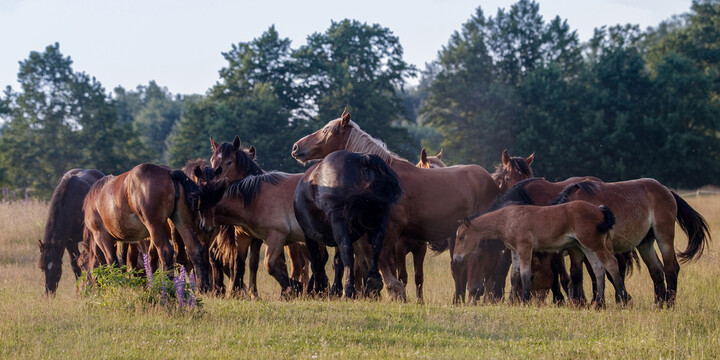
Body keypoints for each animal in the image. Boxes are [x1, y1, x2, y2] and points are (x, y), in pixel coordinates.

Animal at [83, 164, 211, 292]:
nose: (88, 288)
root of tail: (169, 172)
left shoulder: (101, 237)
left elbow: (112, 262)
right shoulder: (122, 240)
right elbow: (121, 261)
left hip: (155, 226)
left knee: (165, 251)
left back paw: (167, 287)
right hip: (182, 223)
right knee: (194, 249)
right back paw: (201, 288)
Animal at [294, 150, 404, 298]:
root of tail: (364, 159)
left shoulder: (311, 236)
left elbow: (318, 262)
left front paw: (320, 289)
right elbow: (336, 261)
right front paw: (332, 288)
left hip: (338, 220)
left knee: (345, 249)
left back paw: (348, 290)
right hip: (380, 218)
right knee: (376, 246)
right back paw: (373, 282)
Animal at [452, 201, 628, 308]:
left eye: (461, 237)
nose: (456, 259)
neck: (509, 218)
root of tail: (600, 210)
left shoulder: (525, 247)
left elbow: (525, 274)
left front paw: (524, 301)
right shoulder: (514, 251)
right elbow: (514, 277)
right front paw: (511, 302)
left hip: (593, 243)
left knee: (611, 263)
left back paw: (623, 299)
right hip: (584, 246)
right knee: (599, 268)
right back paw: (599, 303)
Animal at [552, 180, 708, 306]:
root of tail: (666, 190)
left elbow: (603, 272)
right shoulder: (576, 249)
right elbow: (576, 274)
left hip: (664, 238)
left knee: (671, 269)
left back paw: (669, 304)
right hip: (645, 244)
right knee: (656, 271)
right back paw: (659, 304)